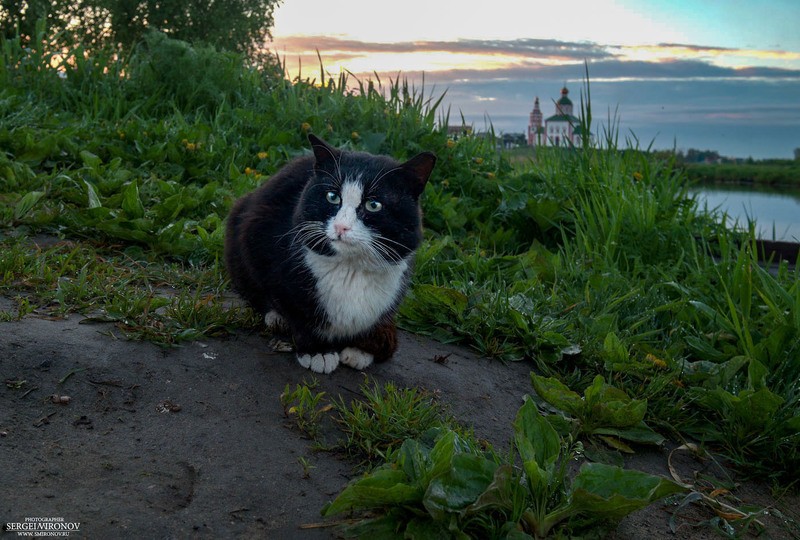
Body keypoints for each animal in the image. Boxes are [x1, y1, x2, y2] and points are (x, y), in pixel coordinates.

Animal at [225, 133, 438, 374]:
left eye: (374, 205)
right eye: (332, 196)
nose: (341, 227)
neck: (351, 268)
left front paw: (361, 349)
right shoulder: (259, 233)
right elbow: (294, 308)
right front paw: (317, 350)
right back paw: (275, 317)